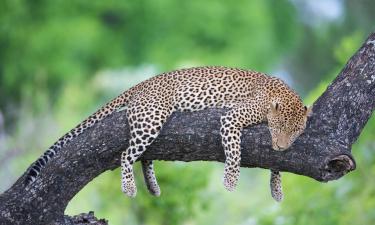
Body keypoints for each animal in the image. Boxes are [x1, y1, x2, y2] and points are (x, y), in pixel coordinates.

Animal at [24, 66, 312, 201]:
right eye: (280, 128)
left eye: (295, 133)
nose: (282, 146)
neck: (280, 95)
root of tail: (145, 82)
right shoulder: (232, 118)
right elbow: (235, 152)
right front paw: (230, 181)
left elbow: (274, 164)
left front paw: (277, 189)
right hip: (152, 119)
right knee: (126, 155)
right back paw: (129, 187)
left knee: (143, 157)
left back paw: (152, 187)